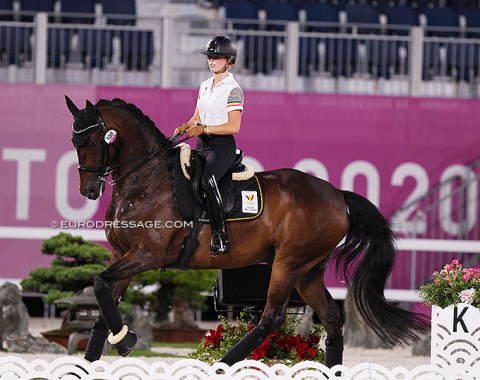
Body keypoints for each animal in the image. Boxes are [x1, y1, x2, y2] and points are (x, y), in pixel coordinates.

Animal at [65, 95, 430, 368]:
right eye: (74, 140)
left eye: (95, 140)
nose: (89, 190)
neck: (147, 180)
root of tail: (338, 195)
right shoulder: (122, 254)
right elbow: (103, 300)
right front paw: (96, 356)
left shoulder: (147, 255)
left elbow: (99, 285)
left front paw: (125, 339)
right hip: (308, 271)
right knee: (331, 318)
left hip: (288, 263)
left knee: (271, 317)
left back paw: (222, 364)